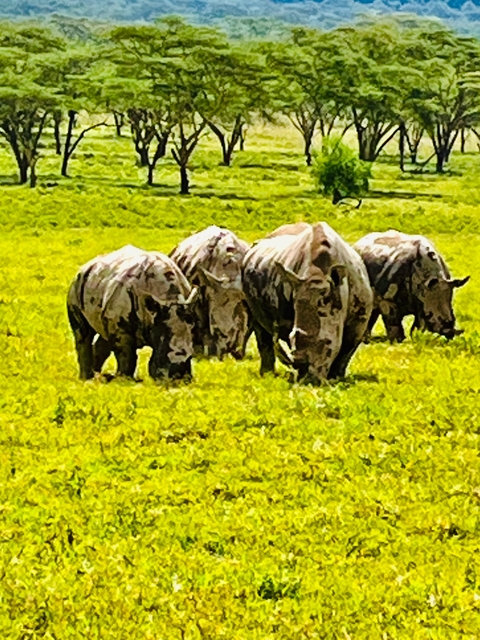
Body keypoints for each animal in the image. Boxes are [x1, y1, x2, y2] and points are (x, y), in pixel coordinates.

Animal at [67, 245, 197, 381]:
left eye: (190, 357)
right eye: (161, 356)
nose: (178, 378)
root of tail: (86, 266)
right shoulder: (122, 329)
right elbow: (127, 356)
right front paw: (124, 380)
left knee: (104, 335)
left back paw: (97, 377)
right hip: (77, 285)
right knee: (83, 334)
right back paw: (86, 379)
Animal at [242, 222, 373, 383]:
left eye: (327, 343)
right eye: (292, 337)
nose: (308, 381)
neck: (318, 274)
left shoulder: (359, 319)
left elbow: (346, 350)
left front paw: (336, 378)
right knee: (260, 327)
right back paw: (267, 375)